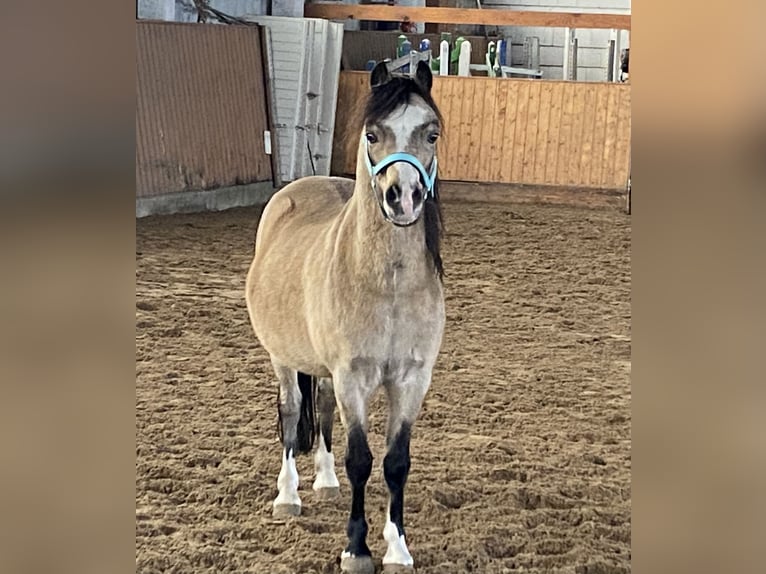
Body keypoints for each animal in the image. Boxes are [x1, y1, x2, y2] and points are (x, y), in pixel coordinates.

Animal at [245, 60, 445, 574]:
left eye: (431, 133)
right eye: (372, 134)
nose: (403, 197)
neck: (389, 284)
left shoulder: (411, 380)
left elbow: (396, 462)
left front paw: (397, 548)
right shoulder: (353, 377)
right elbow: (361, 460)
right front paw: (357, 549)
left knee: (323, 412)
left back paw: (326, 482)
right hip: (283, 358)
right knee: (292, 413)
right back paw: (289, 496)